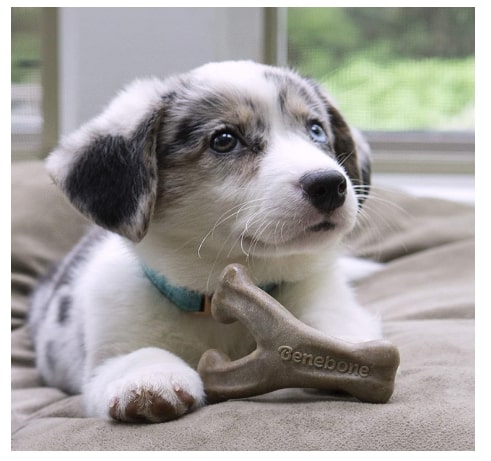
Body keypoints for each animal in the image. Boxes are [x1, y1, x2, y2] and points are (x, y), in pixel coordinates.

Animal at [28, 61, 382, 424]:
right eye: (224, 140)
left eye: (316, 130)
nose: (330, 185)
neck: (215, 297)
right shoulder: (108, 351)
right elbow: (137, 353)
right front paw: (150, 378)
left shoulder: (325, 298)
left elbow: (334, 330)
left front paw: (347, 352)